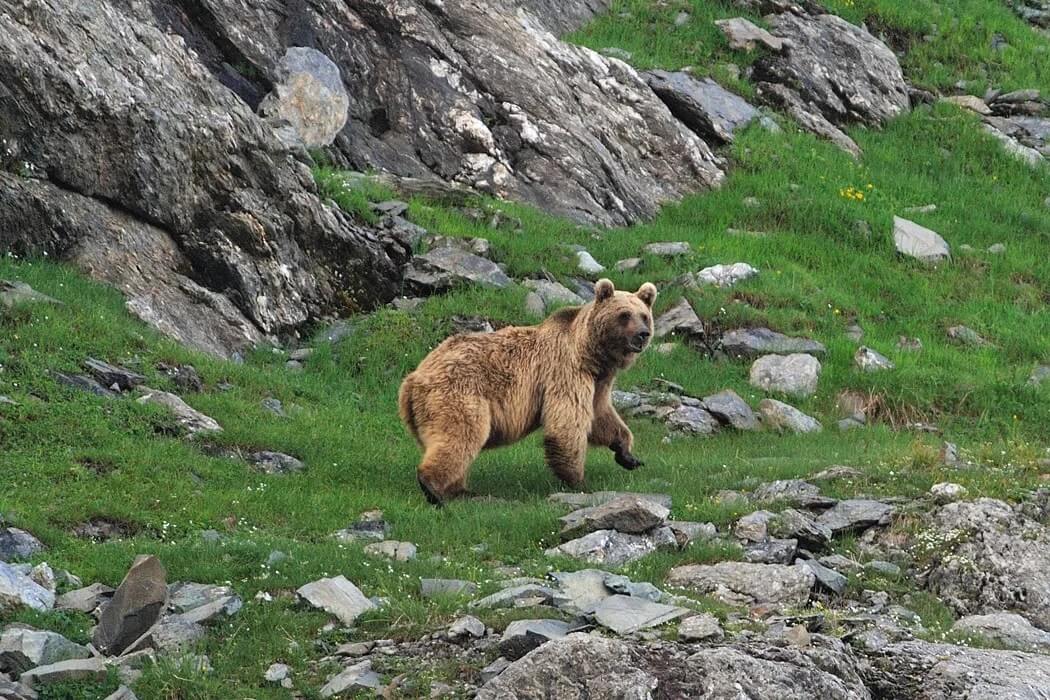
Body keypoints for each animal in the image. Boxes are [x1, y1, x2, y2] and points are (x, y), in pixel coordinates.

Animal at [398, 278, 657, 504]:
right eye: (624, 315)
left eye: (644, 315)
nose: (643, 334)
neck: (592, 355)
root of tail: (411, 379)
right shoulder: (564, 371)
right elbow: (567, 424)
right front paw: (578, 480)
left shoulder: (598, 384)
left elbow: (601, 415)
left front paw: (628, 454)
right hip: (459, 392)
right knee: (461, 435)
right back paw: (433, 488)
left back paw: (459, 490)